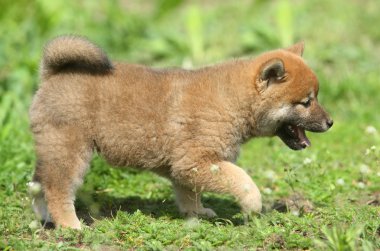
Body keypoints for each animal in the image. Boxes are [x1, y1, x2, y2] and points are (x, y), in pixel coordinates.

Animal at [29, 35, 332, 229]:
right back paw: (70, 224)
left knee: (38, 184)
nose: (330, 123)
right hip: (70, 151)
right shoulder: (197, 161)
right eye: (306, 102)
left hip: (51, 149)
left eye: (314, 97)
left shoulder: (187, 167)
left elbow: (189, 193)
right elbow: (242, 180)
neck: (232, 101)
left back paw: (46, 218)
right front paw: (252, 204)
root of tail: (53, 75)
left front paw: (196, 213)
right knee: (57, 188)